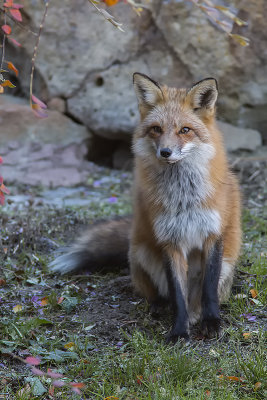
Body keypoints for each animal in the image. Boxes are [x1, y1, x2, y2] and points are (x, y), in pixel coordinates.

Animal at [49, 73, 242, 342]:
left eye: (185, 130)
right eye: (156, 129)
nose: (165, 152)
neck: (184, 198)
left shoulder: (213, 234)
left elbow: (209, 290)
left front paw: (211, 322)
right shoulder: (170, 240)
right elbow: (177, 295)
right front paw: (179, 331)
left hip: (227, 261)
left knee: (200, 297)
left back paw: (196, 314)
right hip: (141, 253)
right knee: (159, 294)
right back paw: (159, 307)